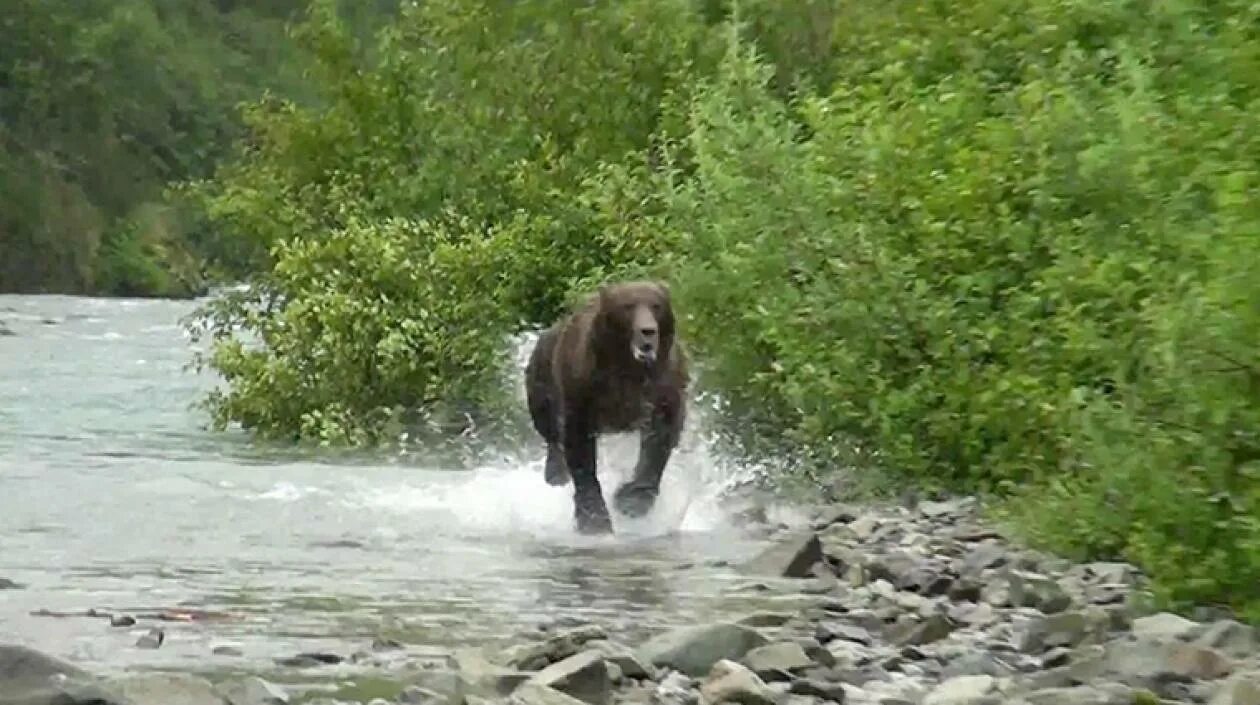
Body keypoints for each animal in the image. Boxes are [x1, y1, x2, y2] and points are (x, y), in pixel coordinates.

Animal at [526, 279, 695, 533]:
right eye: (628, 306)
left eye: (656, 305)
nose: (648, 330)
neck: (627, 367)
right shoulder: (583, 389)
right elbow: (579, 447)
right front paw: (594, 520)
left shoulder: (662, 386)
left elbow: (660, 437)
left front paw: (630, 500)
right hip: (542, 374)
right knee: (549, 428)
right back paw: (556, 473)